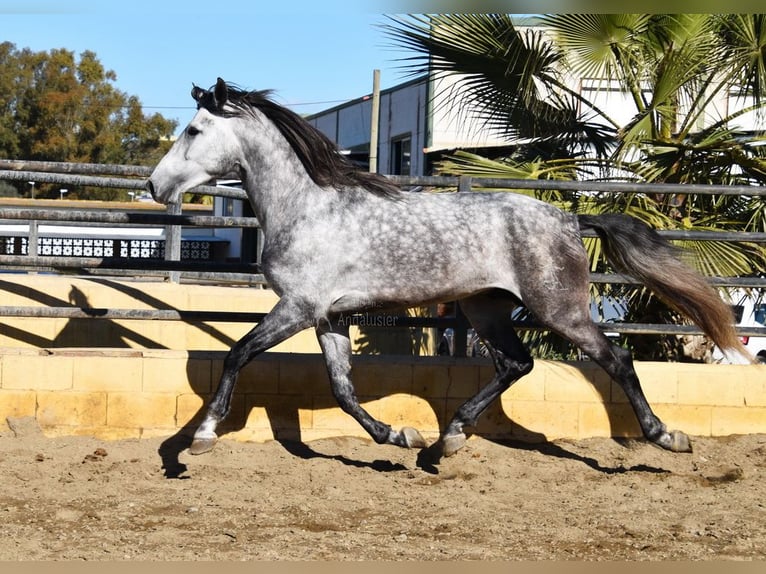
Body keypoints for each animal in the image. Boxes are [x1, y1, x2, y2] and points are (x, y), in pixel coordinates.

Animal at [147, 77, 748, 464]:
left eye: (194, 130)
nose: (155, 185)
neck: (307, 207)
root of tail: (569, 218)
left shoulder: (298, 307)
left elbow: (238, 353)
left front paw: (200, 437)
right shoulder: (328, 317)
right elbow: (342, 388)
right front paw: (400, 436)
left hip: (560, 309)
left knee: (616, 359)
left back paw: (667, 437)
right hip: (486, 308)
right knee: (517, 363)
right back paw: (447, 441)